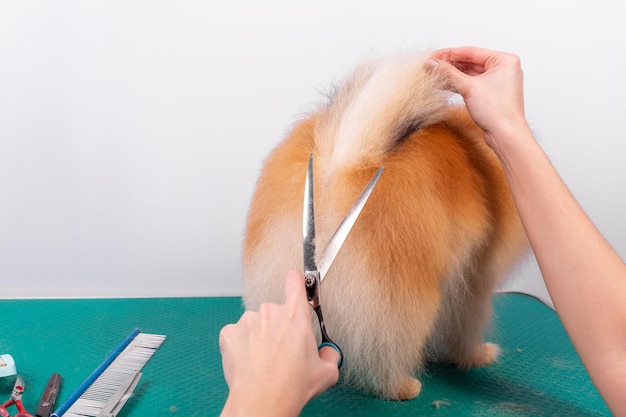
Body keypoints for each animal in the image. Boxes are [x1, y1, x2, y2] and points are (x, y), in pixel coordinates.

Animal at [239, 52, 528, 400]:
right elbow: (466, 329)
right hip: (408, 297)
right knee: (390, 349)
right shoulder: (474, 285)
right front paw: (477, 356)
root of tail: (345, 159)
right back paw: (403, 387)